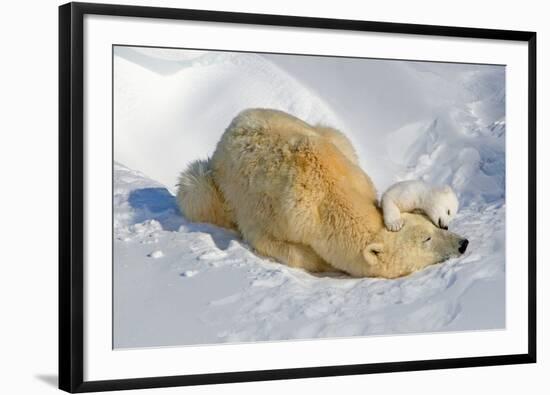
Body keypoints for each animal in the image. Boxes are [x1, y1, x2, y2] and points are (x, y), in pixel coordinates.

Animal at [178, 108, 470, 278]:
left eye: (434, 227)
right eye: (426, 239)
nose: (463, 243)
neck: (324, 195)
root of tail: (238, 117)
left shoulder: (354, 174)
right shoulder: (271, 216)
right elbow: (283, 248)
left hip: (329, 134)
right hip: (213, 184)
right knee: (196, 190)